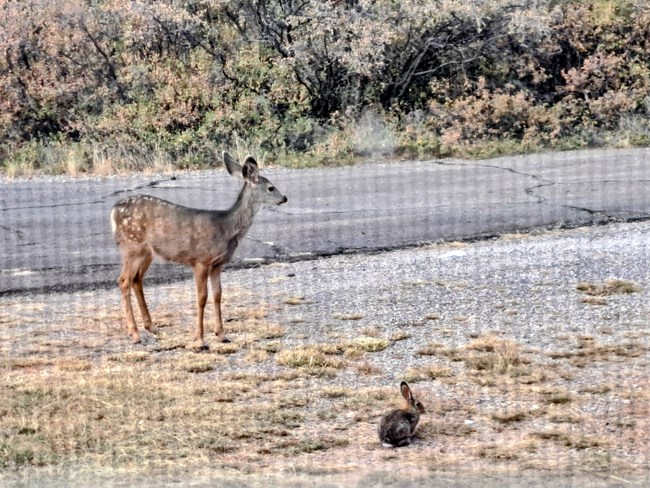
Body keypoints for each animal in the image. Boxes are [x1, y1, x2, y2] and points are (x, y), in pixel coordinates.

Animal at [110, 152, 288, 349]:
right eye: (271, 188)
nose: (284, 198)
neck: (226, 228)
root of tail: (114, 210)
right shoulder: (201, 260)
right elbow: (202, 297)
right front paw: (200, 340)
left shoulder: (218, 264)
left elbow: (218, 295)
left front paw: (222, 335)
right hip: (132, 245)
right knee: (123, 280)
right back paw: (134, 334)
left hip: (147, 252)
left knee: (136, 279)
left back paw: (152, 327)